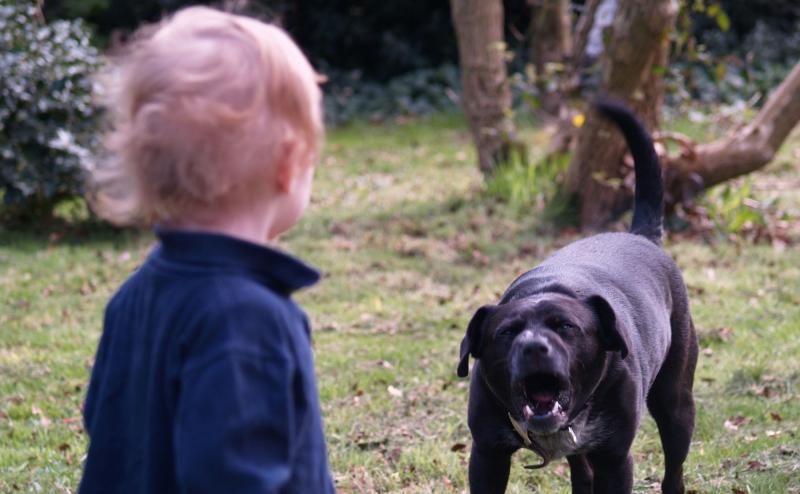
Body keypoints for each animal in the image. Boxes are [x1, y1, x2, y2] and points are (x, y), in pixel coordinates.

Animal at [460, 100, 696, 494]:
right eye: (506, 332)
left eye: (566, 326)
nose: (533, 347)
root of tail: (641, 236)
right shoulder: (487, 455)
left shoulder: (614, 459)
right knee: (581, 473)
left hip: (676, 404)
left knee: (674, 470)